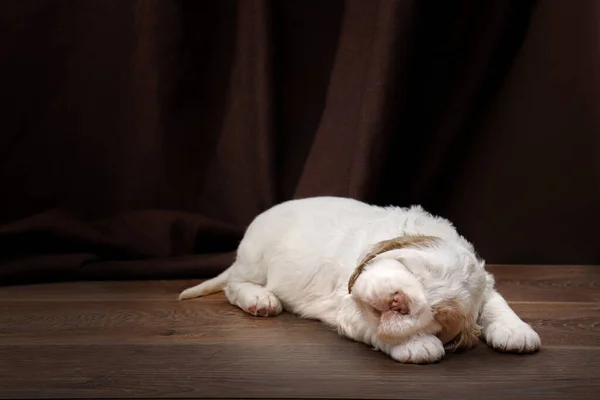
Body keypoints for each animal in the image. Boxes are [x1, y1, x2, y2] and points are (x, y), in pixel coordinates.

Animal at [180, 196, 540, 362]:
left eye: (440, 318)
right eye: (411, 269)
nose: (400, 301)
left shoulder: (484, 279)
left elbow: (495, 298)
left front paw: (516, 330)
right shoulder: (348, 302)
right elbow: (373, 327)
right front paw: (418, 345)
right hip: (256, 259)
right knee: (233, 285)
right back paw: (260, 299)